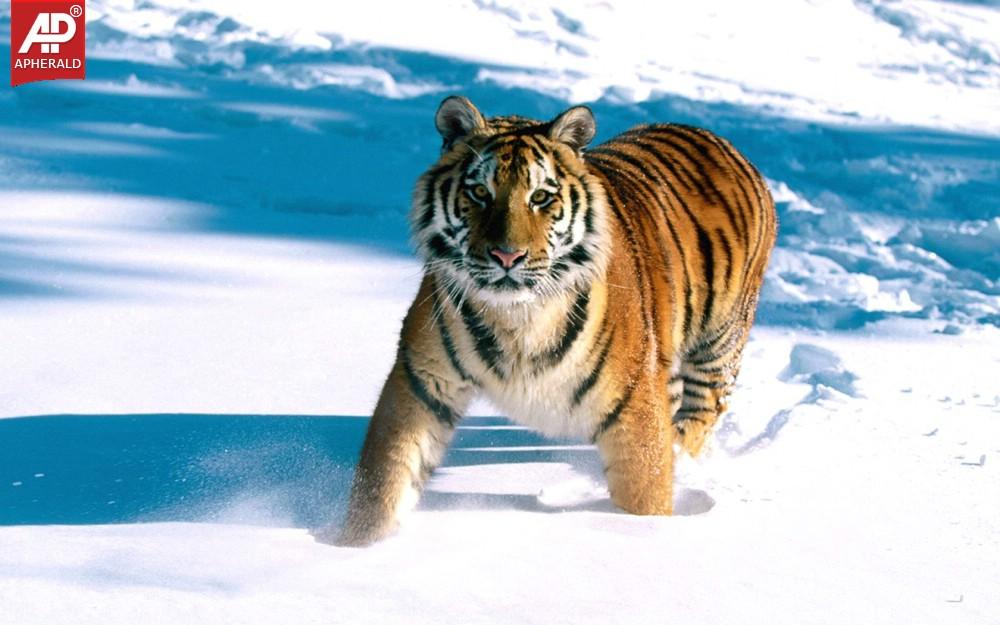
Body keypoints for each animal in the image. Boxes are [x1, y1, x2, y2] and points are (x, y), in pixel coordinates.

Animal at [321, 96, 777, 547]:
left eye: (540, 197)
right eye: (479, 192)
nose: (507, 256)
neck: (516, 317)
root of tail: (718, 139)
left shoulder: (633, 405)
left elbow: (644, 491)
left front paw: (644, 532)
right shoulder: (421, 380)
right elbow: (385, 478)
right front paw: (353, 546)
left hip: (718, 344)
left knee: (702, 411)